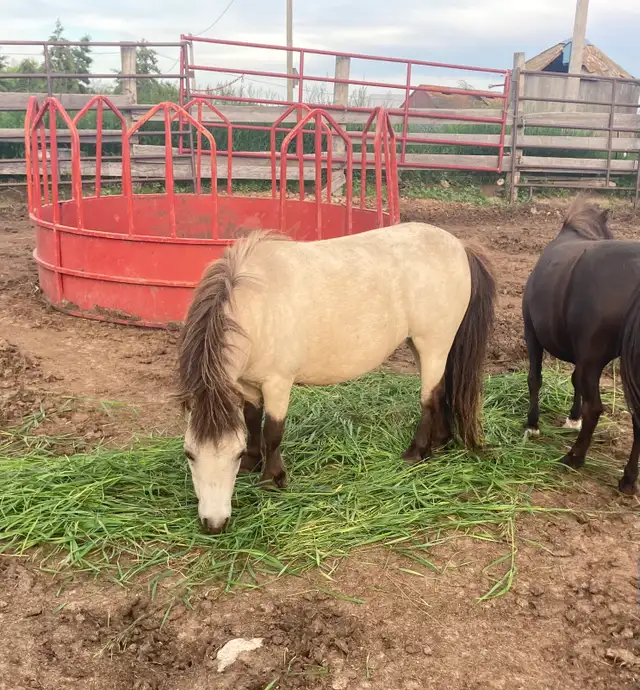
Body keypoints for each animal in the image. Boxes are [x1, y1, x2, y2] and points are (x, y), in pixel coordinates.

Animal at [176, 222, 496, 533]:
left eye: (234, 454)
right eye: (189, 454)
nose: (214, 524)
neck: (258, 307)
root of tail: (459, 246)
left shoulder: (278, 383)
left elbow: (273, 432)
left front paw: (272, 480)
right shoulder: (248, 385)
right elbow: (253, 421)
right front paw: (253, 464)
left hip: (433, 345)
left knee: (428, 399)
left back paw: (416, 452)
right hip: (421, 347)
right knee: (440, 390)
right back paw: (441, 442)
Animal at [522, 197, 640, 495]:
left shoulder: (532, 334)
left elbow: (535, 379)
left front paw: (532, 425)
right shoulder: (581, 355)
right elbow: (575, 382)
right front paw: (572, 418)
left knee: (595, 408)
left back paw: (574, 457)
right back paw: (628, 479)